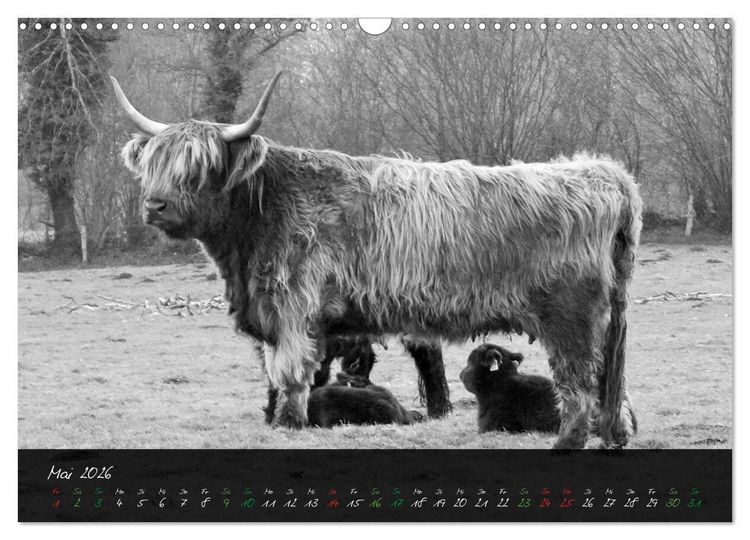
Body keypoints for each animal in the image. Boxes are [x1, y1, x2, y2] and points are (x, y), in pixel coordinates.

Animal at [112, 71, 642, 449]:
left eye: (198, 168)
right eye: (154, 165)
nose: (155, 205)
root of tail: (603, 172)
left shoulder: (292, 309)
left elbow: (289, 375)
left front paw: (288, 426)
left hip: (570, 319)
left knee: (580, 381)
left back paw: (569, 441)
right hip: (607, 319)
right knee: (610, 382)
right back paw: (614, 435)